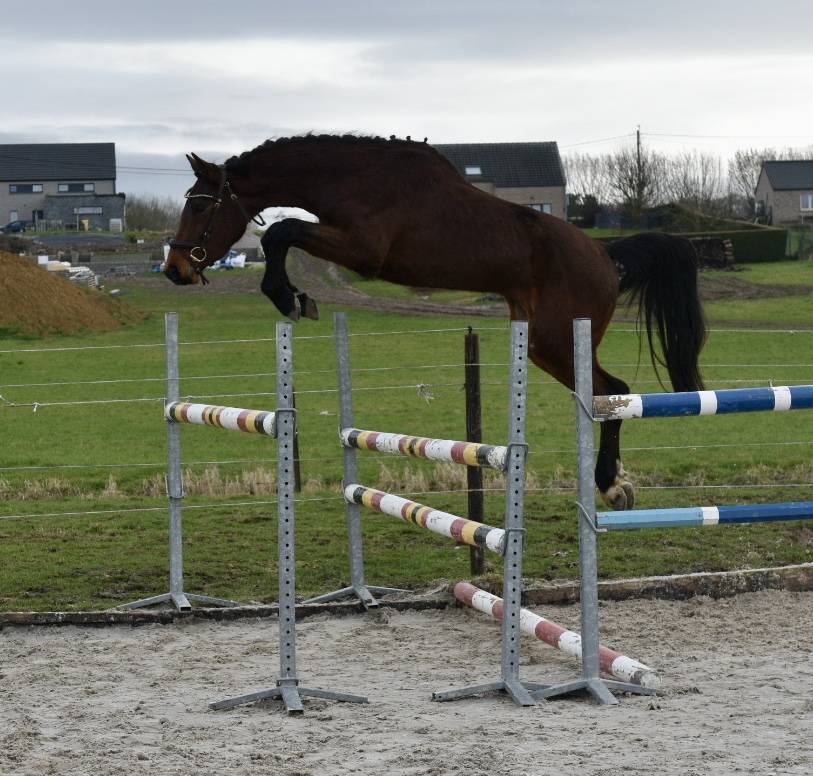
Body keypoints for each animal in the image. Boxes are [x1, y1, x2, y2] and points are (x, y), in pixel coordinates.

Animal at [165, 134, 706, 510]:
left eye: (200, 204)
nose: (175, 269)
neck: (350, 177)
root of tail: (605, 255)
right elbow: (284, 232)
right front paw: (293, 296)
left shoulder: (365, 251)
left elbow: (282, 230)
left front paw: (289, 297)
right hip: (543, 343)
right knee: (607, 393)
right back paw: (613, 483)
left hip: (556, 339)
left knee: (611, 392)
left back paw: (611, 485)